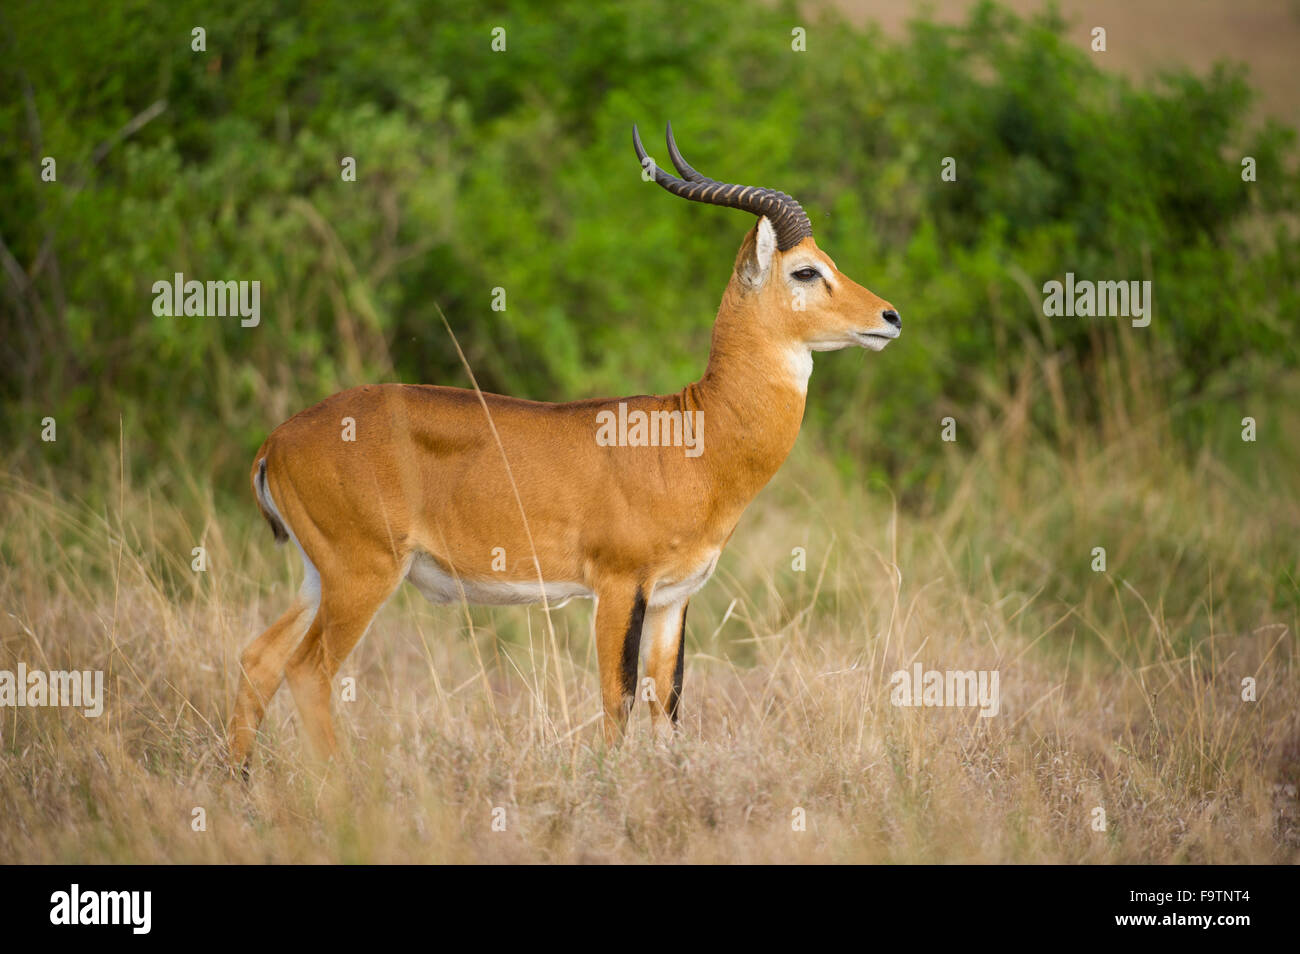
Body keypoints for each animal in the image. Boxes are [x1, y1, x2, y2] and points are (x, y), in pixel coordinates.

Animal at [228, 123, 899, 774]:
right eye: (806, 271)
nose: (890, 317)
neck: (694, 435)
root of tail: (277, 439)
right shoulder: (619, 587)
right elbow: (617, 700)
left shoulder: (673, 598)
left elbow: (667, 705)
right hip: (362, 576)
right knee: (307, 672)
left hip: (317, 577)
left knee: (259, 659)